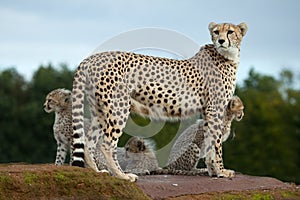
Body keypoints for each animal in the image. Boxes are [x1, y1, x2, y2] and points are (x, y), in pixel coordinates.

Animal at [71, 21, 248, 181]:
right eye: (217, 32)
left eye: (230, 32)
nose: (221, 41)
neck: (227, 56)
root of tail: (92, 58)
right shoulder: (215, 109)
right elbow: (216, 144)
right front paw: (222, 171)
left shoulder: (208, 111)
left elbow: (210, 142)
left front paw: (213, 171)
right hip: (118, 108)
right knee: (106, 144)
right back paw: (122, 175)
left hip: (100, 111)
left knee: (89, 142)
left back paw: (97, 172)